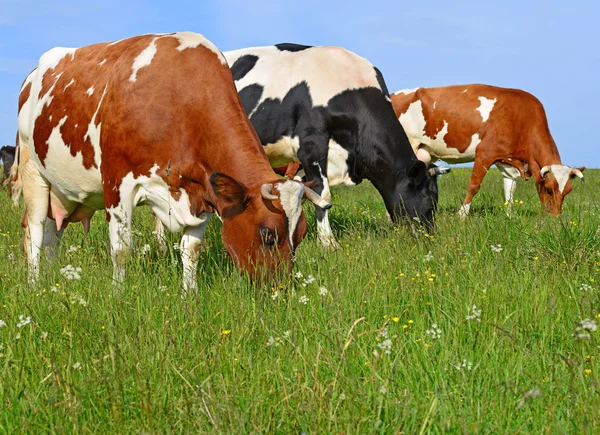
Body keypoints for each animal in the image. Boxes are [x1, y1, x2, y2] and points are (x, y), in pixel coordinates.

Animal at [9, 32, 328, 292]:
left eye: (301, 235)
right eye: (267, 235)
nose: (279, 289)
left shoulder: (201, 191)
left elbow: (192, 250)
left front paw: (189, 296)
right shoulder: (117, 184)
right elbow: (121, 250)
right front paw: (118, 295)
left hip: (63, 192)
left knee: (53, 232)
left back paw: (52, 278)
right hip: (33, 171)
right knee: (36, 230)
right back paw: (35, 284)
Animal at [220, 45, 446, 249]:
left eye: (436, 202)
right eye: (428, 201)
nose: (429, 239)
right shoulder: (311, 143)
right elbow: (322, 194)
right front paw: (328, 242)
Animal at [392, 84, 584, 217]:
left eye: (568, 191)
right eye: (549, 189)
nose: (555, 218)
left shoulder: (507, 161)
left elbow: (510, 190)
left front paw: (509, 217)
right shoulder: (485, 153)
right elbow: (474, 185)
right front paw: (462, 215)